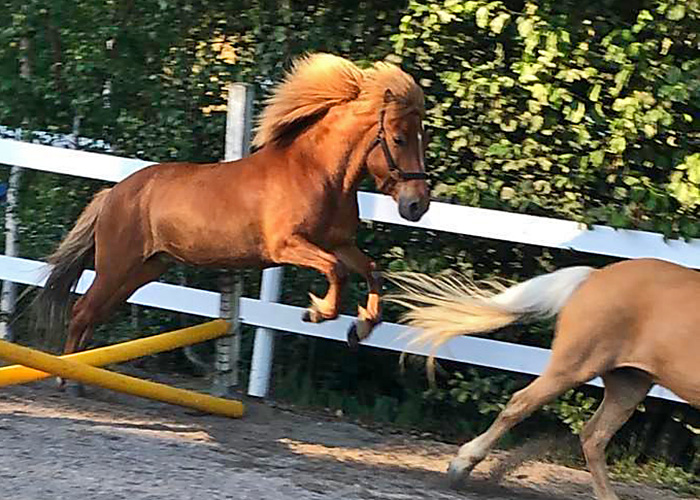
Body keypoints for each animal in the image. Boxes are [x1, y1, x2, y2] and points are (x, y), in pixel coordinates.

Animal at [35, 52, 430, 370]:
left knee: (94, 314)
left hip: (143, 269)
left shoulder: (339, 243)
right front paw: (318, 312)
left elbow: (372, 272)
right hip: (116, 266)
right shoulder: (287, 246)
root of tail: (114, 192)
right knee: (82, 311)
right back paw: (67, 377)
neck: (317, 172)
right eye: (398, 139)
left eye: (421, 138)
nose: (417, 205)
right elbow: (337, 272)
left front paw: (360, 326)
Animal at [388, 258, 700, 500]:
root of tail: (594, 275)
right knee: (520, 405)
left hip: (630, 384)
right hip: (574, 367)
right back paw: (460, 467)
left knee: (593, 437)